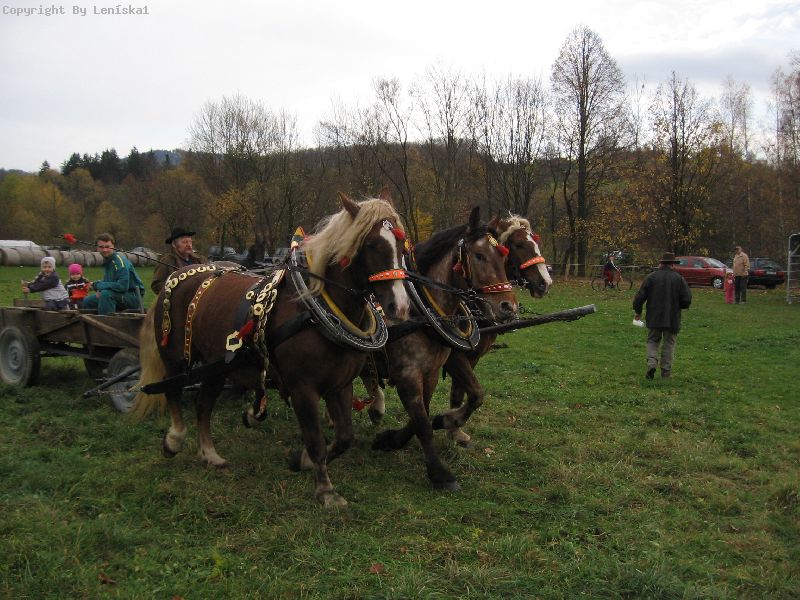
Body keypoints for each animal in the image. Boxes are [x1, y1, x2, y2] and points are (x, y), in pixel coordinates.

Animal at [133, 190, 411, 507]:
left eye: (402, 244)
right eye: (371, 244)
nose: (400, 306)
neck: (315, 312)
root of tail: (178, 274)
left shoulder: (340, 385)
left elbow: (344, 437)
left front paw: (302, 460)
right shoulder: (303, 389)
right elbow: (316, 440)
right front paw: (325, 490)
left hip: (218, 365)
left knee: (203, 404)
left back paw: (210, 454)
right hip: (176, 357)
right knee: (173, 391)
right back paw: (174, 439)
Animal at [368, 206, 519, 491]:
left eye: (504, 257)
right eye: (479, 255)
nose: (508, 307)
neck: (421, 311)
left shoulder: (431, 372)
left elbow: (429, 413)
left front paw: (394, 438)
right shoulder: (408, 375)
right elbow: (422, 423)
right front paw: (440, 473)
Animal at [435, 213, 552, 446]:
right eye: (519, 244)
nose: (545, 282)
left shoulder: (472, 357)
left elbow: (460, 392)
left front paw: (454, 430)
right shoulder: (453, 357)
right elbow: (472, 391)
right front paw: (449, 422)